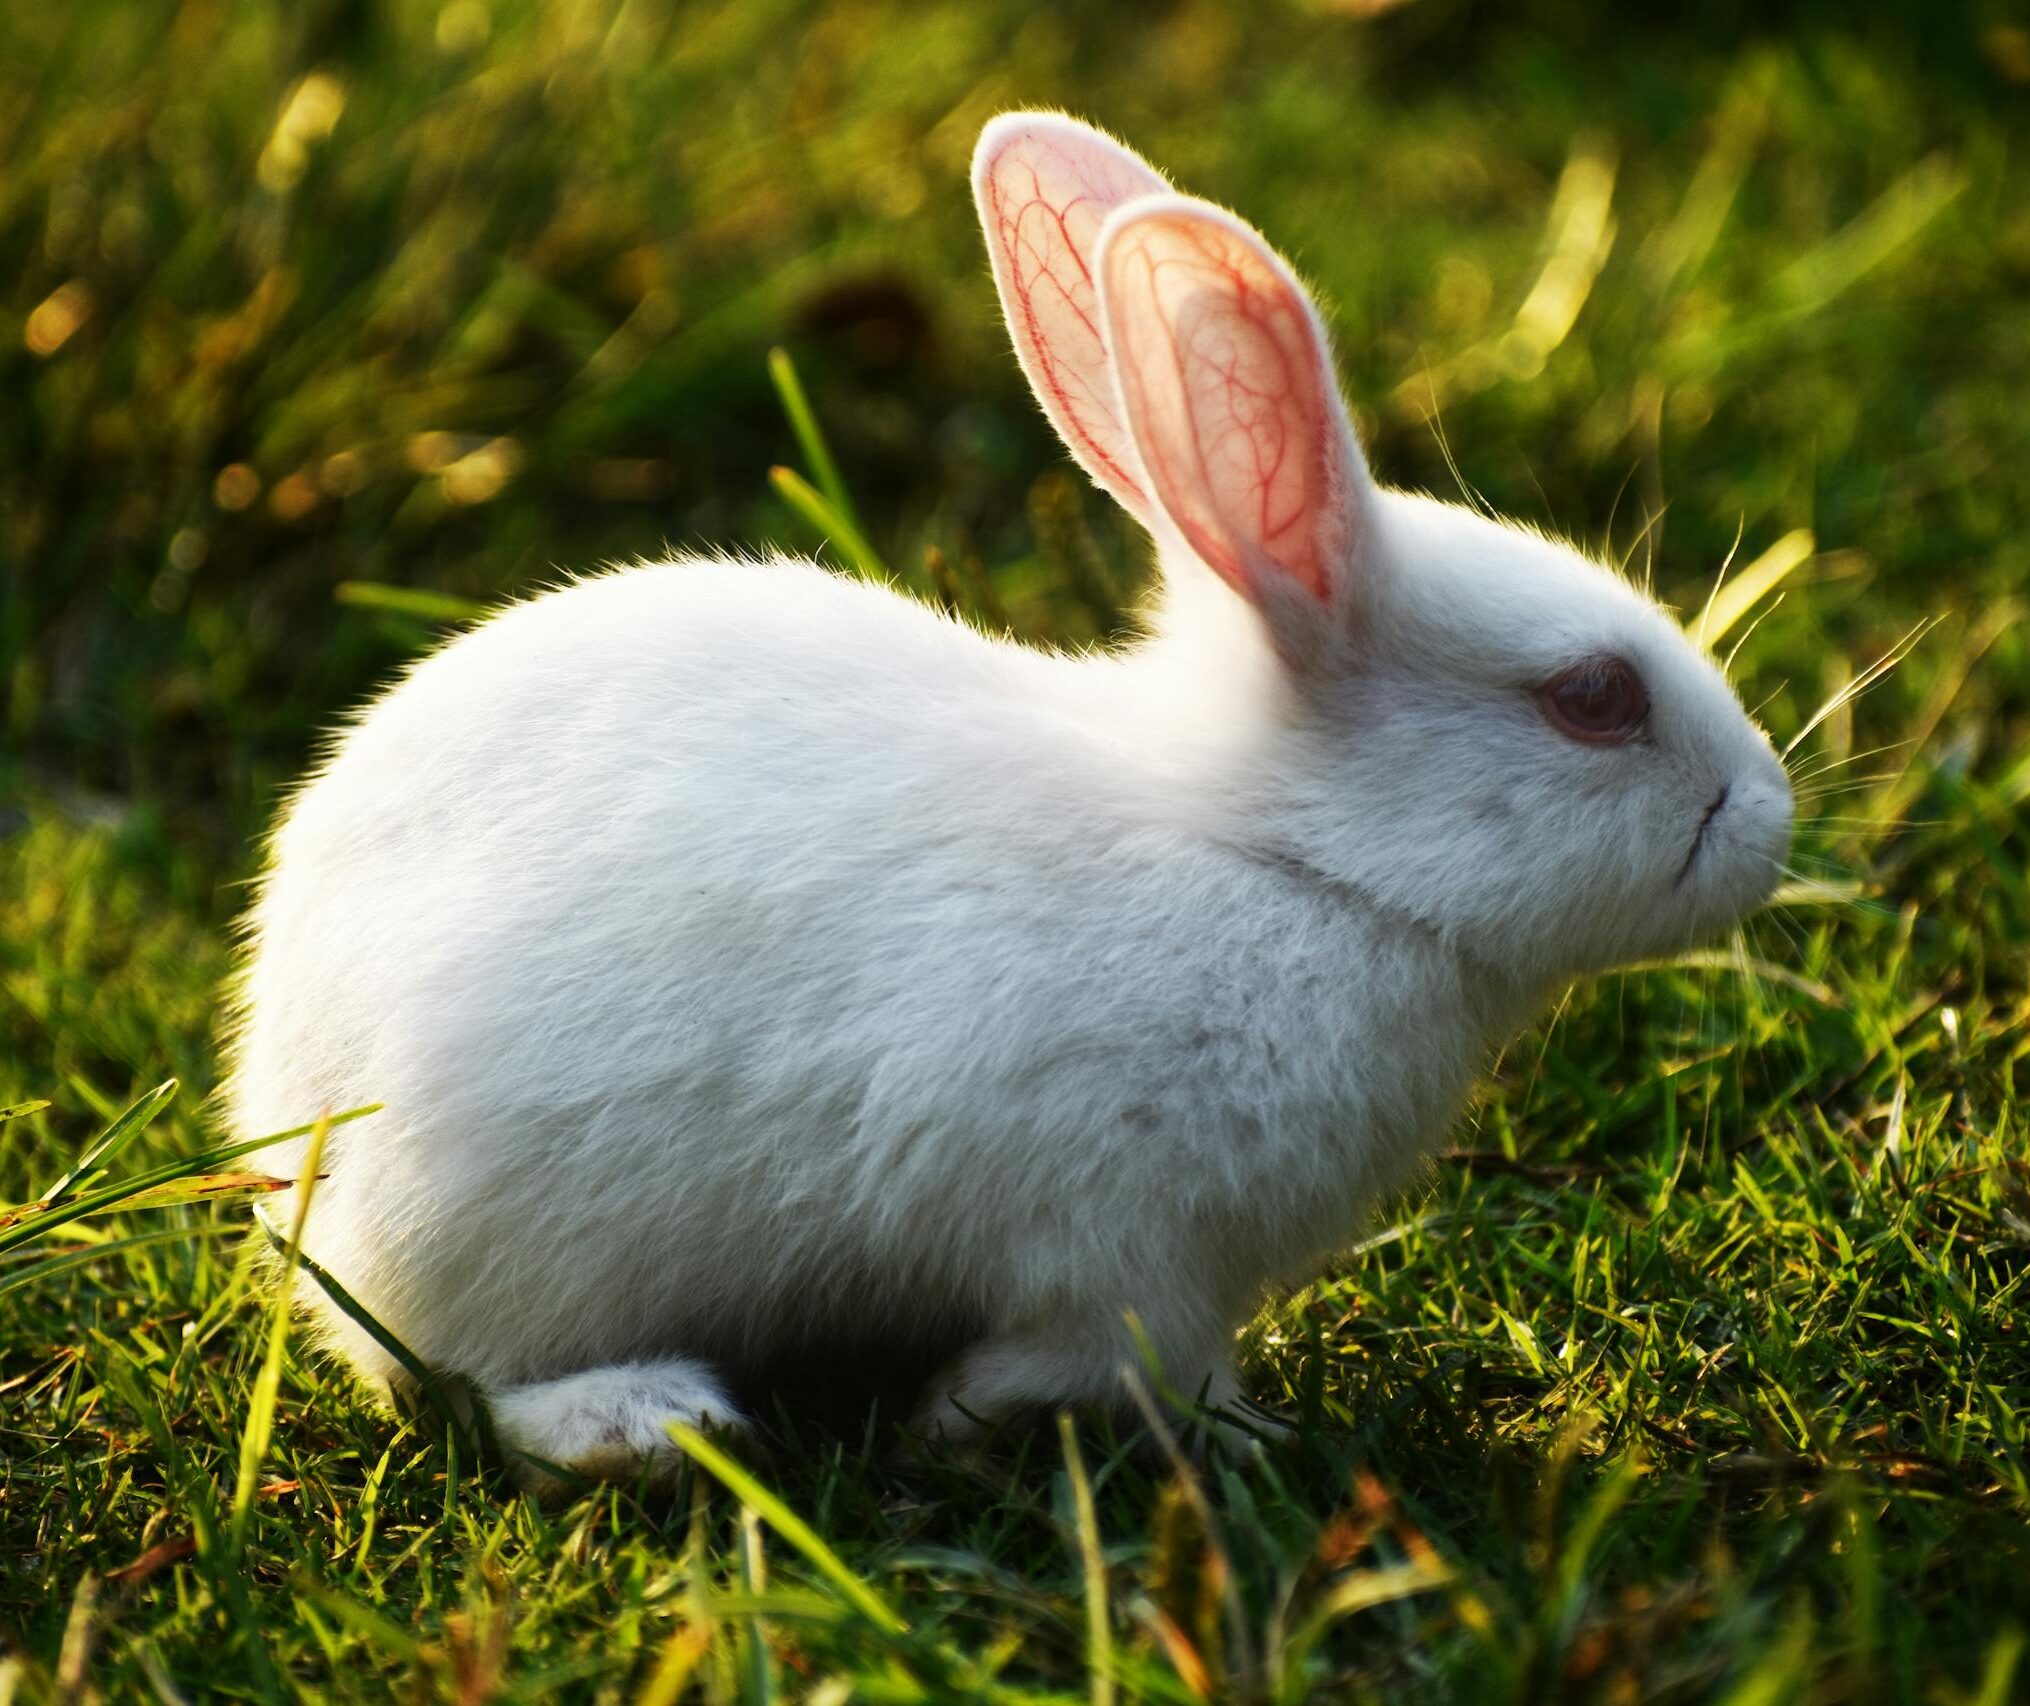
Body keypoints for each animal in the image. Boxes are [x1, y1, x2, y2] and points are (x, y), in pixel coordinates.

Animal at [230, 113, 1794, 1486]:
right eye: (1593, 696)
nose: (1771, 813)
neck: (1284, 857)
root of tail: (280, 1092)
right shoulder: (1130, 1248)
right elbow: (1123, 1359)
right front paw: (1153, 1430)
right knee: (452, 1373)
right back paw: (647, 1422)